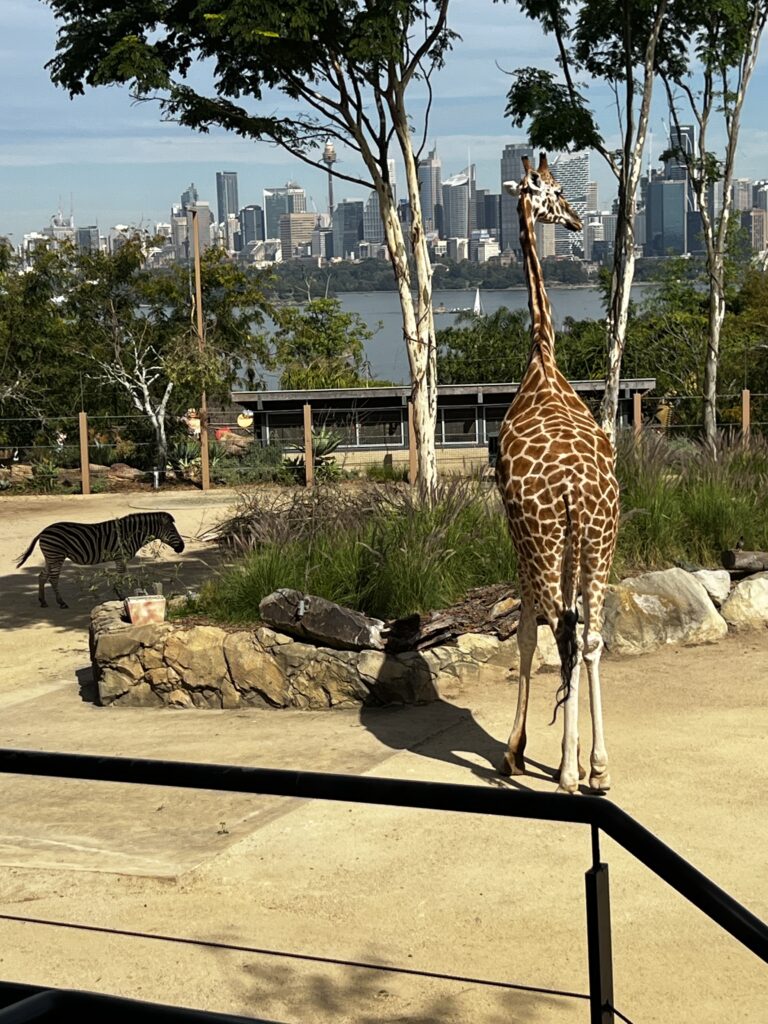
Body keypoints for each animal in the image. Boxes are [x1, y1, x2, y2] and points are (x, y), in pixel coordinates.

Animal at [16, 511, 185, 609]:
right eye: (172, 530)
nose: (182, 547)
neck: (131, 534)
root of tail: (44, 531)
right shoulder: (120, 556)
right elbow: (121, 577)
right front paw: (120, 595)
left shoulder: (120, 558)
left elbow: (122, 576)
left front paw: (120, 593)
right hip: (56, 555)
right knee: (53, 578)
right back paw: (61, 603)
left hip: (50, 557)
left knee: (42, 576)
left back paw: (43, 601)